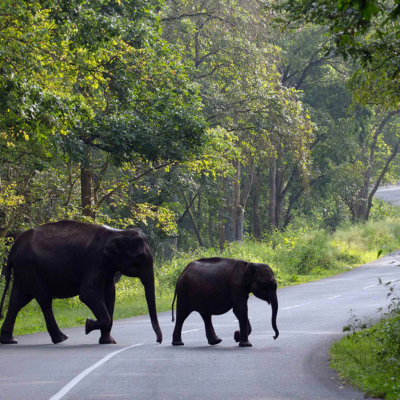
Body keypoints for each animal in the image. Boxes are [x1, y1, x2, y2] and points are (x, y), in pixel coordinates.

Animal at [0, 220, 162, 346]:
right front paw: (87, 325)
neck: (117, 232)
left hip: (24, 270)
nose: (158, 341)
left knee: (18, 300)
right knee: (43, 299)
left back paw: (9, 340)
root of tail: (12, 251)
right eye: (138, 261)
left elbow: (110, 295)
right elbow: (88, 294)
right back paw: (62, 338)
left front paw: (108, 341)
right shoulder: (94, 260)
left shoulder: (107, 266)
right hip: (30, 268)